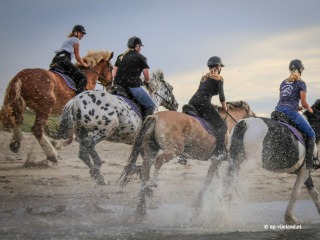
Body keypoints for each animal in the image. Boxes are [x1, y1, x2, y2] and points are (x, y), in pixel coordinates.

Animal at [119, 100, 255, 215]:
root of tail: (156, 116)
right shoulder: (217, 159)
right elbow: (209, 180)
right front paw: (199, 204)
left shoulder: (216, 160)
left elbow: (217, 177)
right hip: (173, 150)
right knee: (158, 162)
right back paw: (152, 187)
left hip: (151, 149)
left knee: (145, 170)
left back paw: (141, 206)